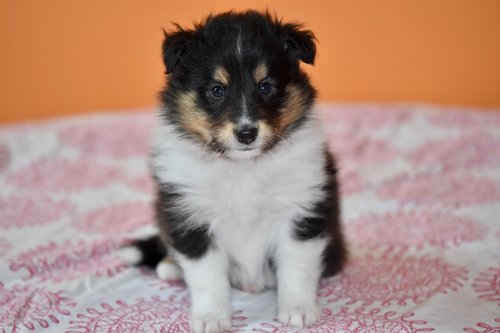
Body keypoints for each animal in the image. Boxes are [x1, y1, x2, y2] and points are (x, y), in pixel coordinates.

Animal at [121, 10, 348, 332]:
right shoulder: (190, 213)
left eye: (265, 86)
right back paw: (170, 266)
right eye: (217, 90)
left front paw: (298, 310)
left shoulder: (302, 207)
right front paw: (211, 317)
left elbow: (297, 266)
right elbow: (206, 275)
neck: (243, 167)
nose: (246, 133)